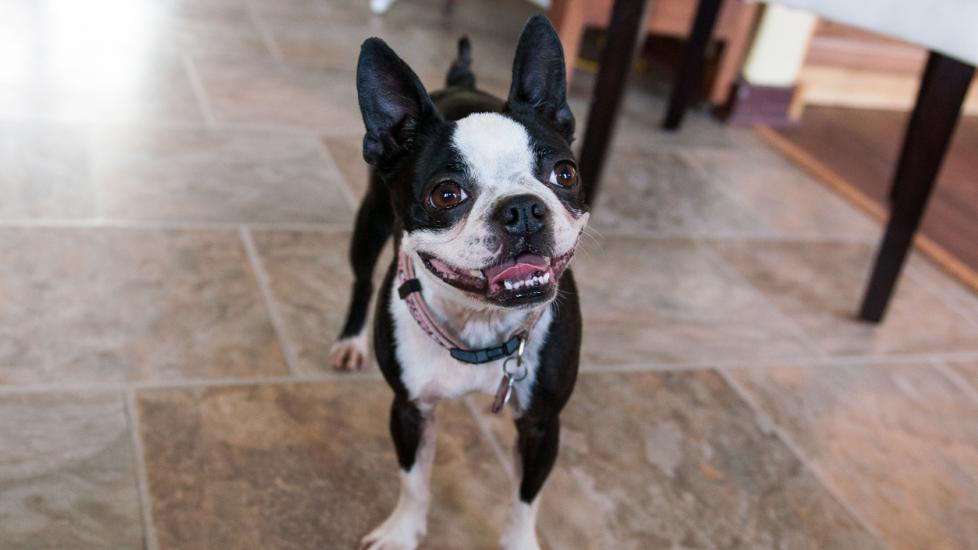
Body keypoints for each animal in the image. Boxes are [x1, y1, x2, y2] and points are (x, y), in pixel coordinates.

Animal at [328, 16, 588, 550]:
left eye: (565, 173)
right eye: (447, 194)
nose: (523, 209)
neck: (481, 324)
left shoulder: (542, 424)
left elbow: (525, 500)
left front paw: (520, 541)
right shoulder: (409, 409)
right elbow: (413, 480)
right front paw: (401, 533)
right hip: (369, 224)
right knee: (360, 281)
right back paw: (350, 340)